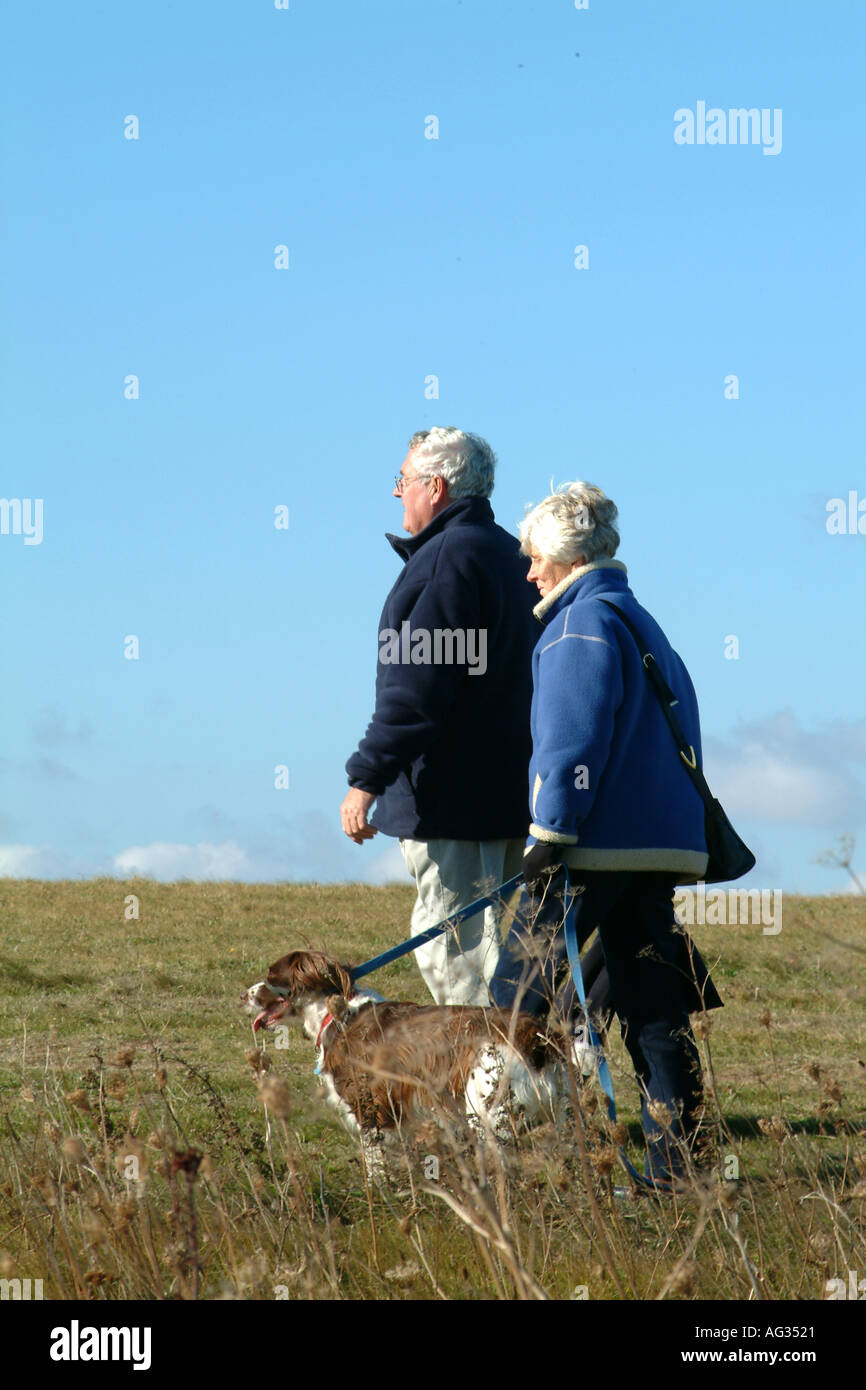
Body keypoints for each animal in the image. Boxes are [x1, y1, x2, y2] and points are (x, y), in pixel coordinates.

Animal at [240, 945, 575, 1173]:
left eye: (271, 975)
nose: (242, 995)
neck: (337, 1014)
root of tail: (536, 1035)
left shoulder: (371, 1109)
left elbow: (376, 1168)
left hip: (488, 1111)